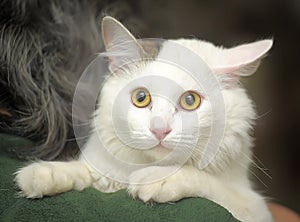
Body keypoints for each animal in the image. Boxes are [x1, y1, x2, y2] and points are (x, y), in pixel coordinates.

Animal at [15, 16, 274, 222]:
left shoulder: (252, 207)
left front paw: (157, 180)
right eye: (141, 98)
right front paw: (42, 174)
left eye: (190, 100)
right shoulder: (104, 171)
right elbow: (84, 172)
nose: (159, 130)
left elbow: (208, 183)